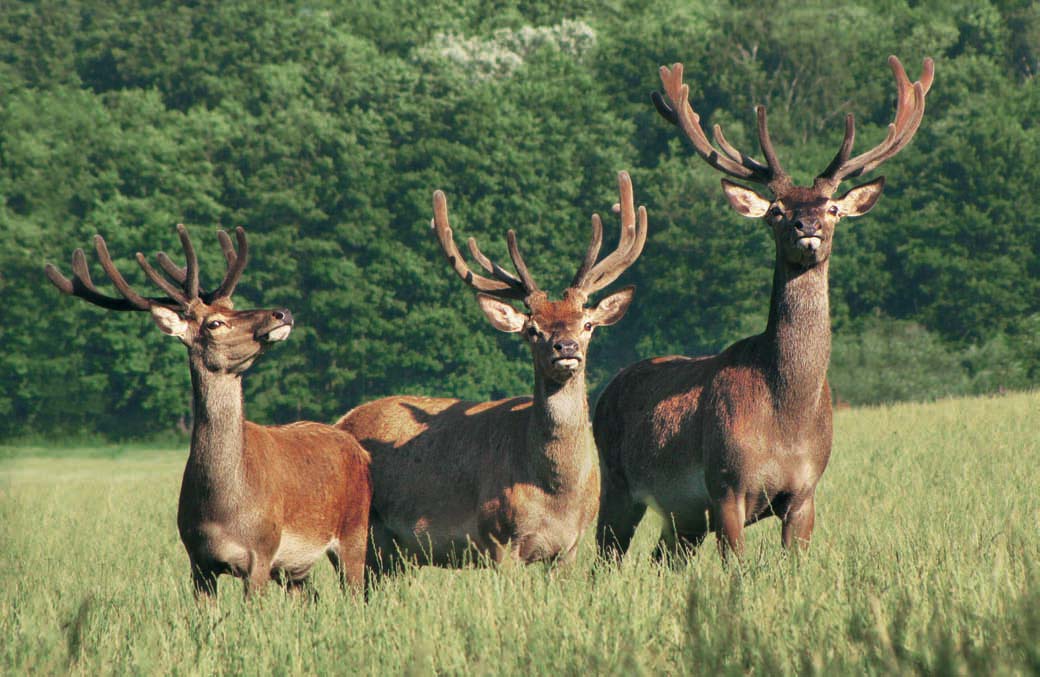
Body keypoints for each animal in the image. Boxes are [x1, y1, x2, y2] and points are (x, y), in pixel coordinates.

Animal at [44, 224, 372, 594]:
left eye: (234, 305)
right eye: (214, 323)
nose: (283, 312)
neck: (224, 508)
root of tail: (358, 448)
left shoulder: (262, 551)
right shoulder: (198, 561)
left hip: (354, 533)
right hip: (297, 568)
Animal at [336, 172, 644, 574]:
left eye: (588, 324)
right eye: (533, 330)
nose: (565, 348)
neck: (556, 496)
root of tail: (342, 420)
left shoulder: (572, 546)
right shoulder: (498, 535)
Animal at [594, 54, 935, 561]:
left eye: (833, 207)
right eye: (776, 210)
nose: (806, 225)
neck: (785, 420)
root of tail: (605, 390)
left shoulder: (806, 492)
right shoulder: (725, 485)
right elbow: (734, 564)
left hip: (681, 516)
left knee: (660, 558)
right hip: (616, 484)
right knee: (604, 555)